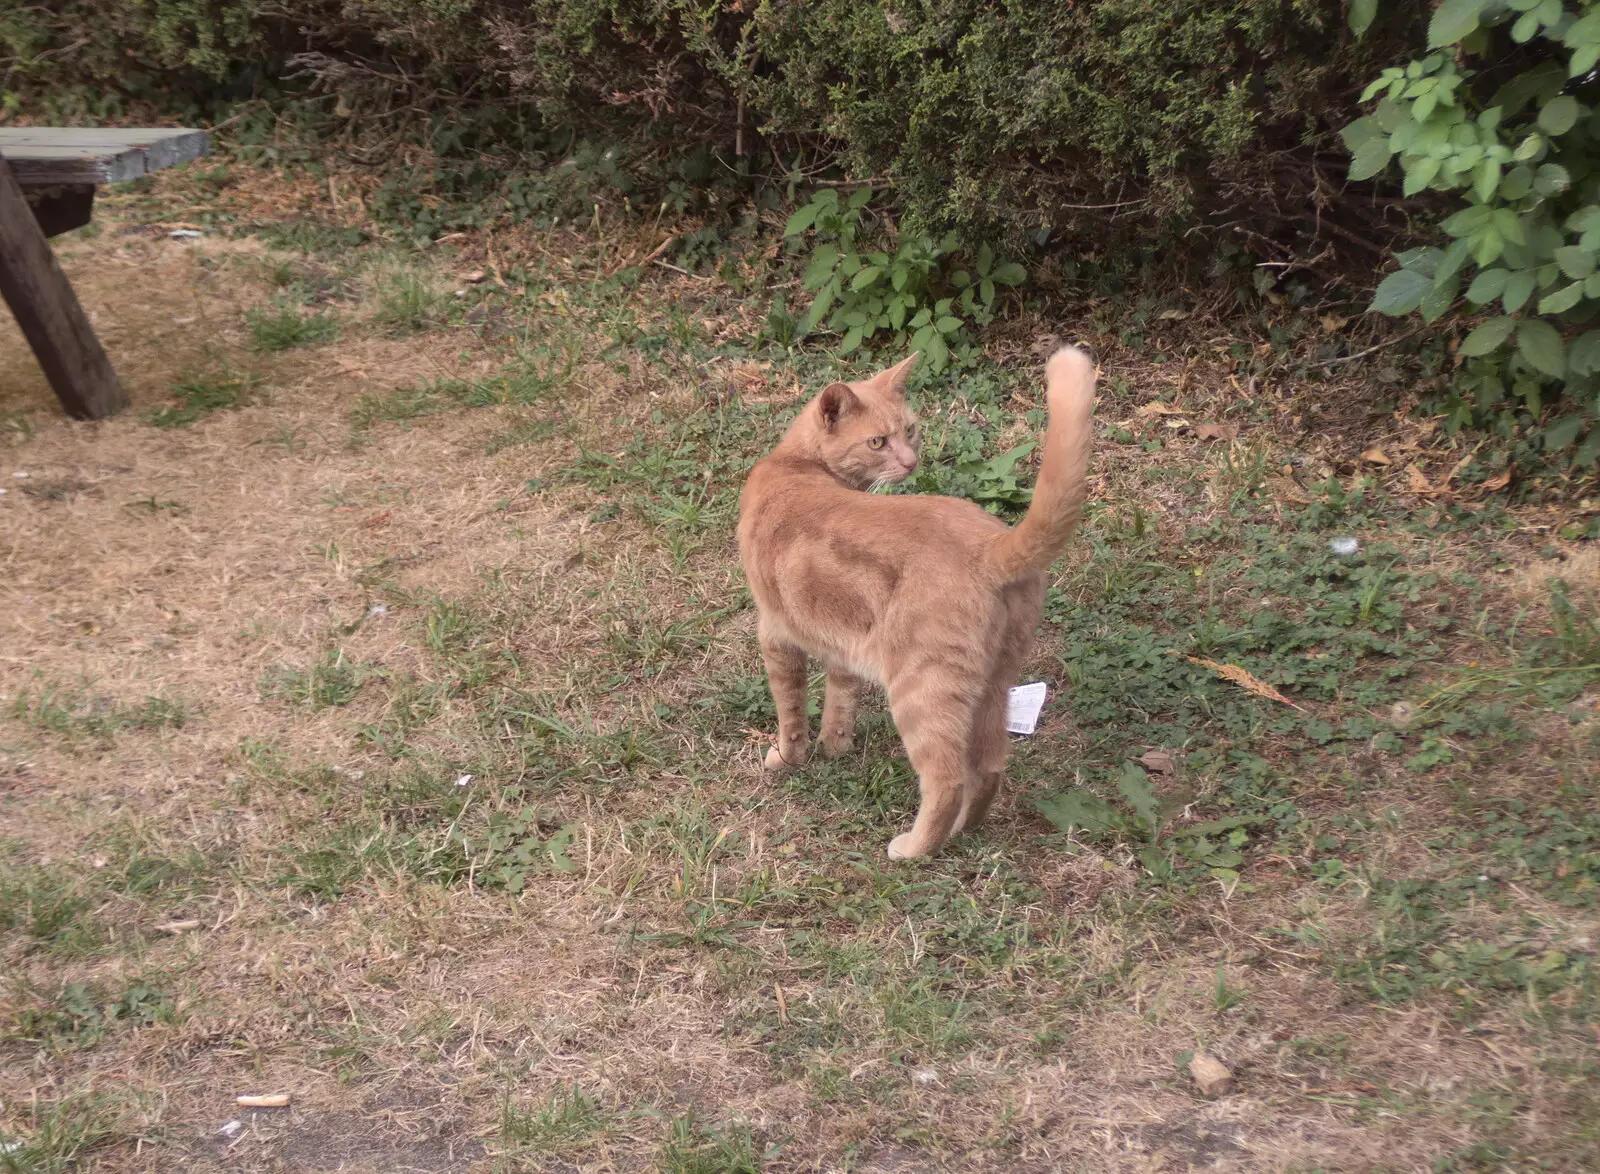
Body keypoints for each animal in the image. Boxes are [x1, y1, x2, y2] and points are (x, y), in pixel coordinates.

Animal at [739, 345, 1100, 857]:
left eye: (908, 430)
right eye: (878, 441)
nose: (911, 462)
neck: (796, 465)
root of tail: (991, 544)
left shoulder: (775, 634)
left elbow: (791, 713)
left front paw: (786, 759)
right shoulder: (841, 644)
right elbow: (840, 701)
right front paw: (835, 747)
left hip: (921, 691)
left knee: (946, 779)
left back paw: (915, 849)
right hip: (992, 687)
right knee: (990, 766)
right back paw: (965, 831)